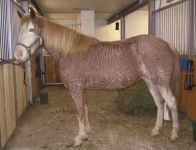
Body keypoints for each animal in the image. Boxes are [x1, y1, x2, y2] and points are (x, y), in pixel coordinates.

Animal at [14, 10, 180, 146]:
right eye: (19, 29)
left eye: (31, 29)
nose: (18, 55)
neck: (70, 52)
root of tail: (167, 44)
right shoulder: (82, 89)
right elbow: (85, 108)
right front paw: (87, 130)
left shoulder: (75, 88)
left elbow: (79, 111)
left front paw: (80, 138)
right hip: (150, 82)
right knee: (159, 103)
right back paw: (156, 130)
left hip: (161, 83)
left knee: (171, 102)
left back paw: (174, 134)